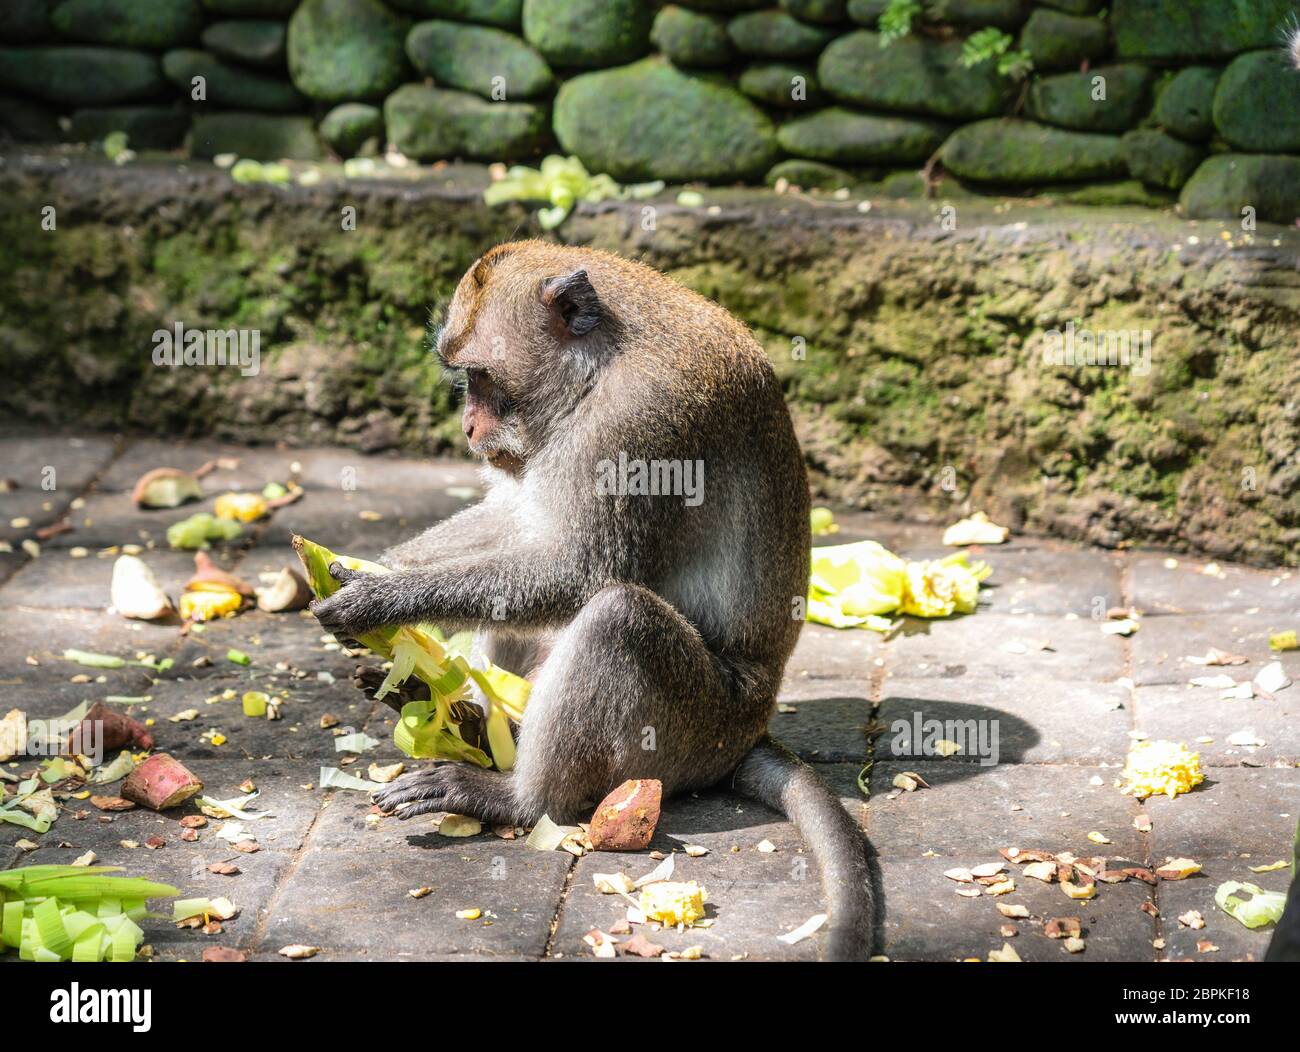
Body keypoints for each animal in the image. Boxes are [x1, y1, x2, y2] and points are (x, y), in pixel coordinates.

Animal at [308, 237, 873, 962]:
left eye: (482, 376)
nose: (468, 426)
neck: (597, 368)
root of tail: (751, 727)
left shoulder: (639, 423)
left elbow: (581, 569)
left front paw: (381, 599)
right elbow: (526, 526)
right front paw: (375, 570)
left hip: (694, 728)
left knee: (615, 617)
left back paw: (513, 798)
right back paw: (469, 723)